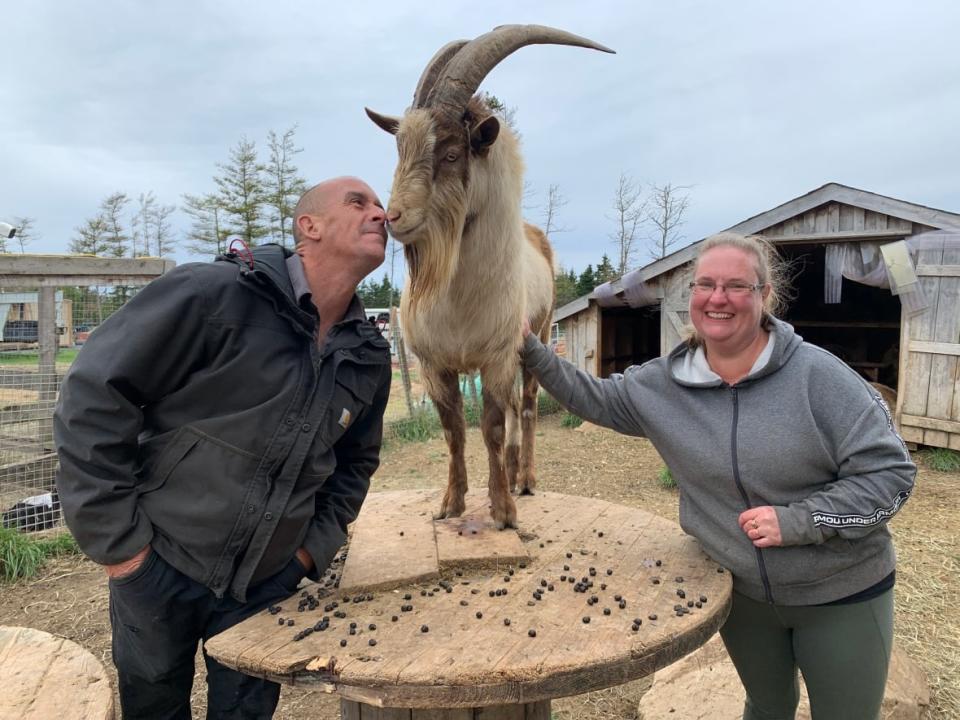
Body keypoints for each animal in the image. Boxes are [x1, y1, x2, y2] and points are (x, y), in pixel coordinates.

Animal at [364, 26, 612, 528]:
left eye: (451, 153)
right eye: (400, 149)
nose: (393, 218)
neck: (458, 299)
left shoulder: (497, 358)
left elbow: (492, 428)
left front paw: (502, 510)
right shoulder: (435, 366)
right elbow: (454, 430)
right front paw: (451, 503)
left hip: (538, 336)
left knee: (528, 406)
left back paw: (526, 479)